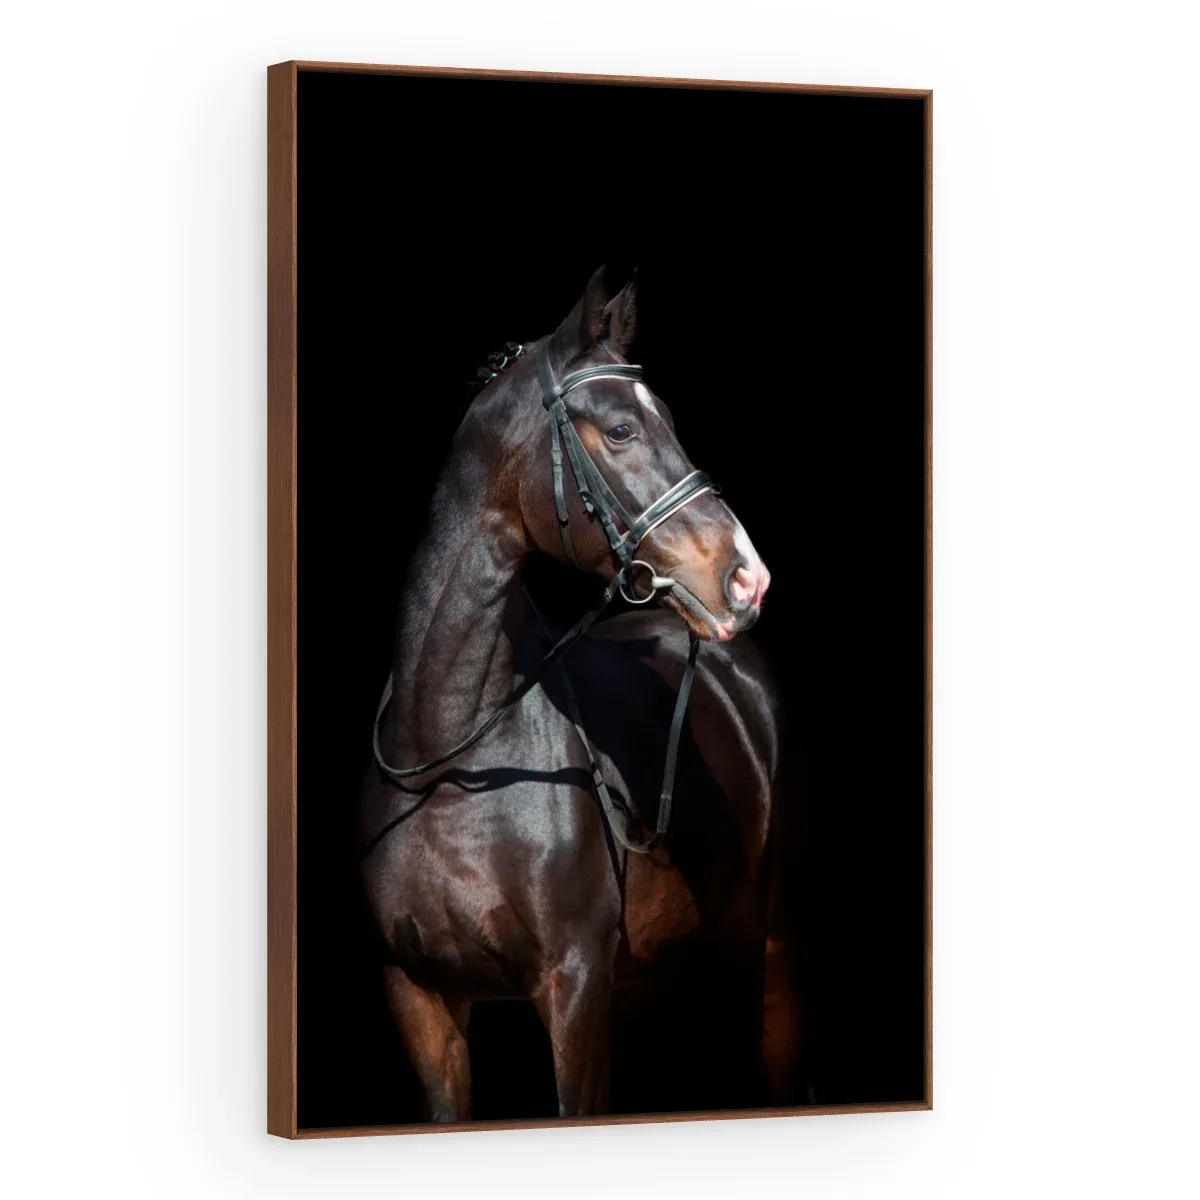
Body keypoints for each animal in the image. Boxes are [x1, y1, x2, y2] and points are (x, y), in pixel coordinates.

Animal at [359, 267, 799, 1121]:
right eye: (621, 430)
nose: (746, 578)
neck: (448, 760)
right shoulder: (419, 997)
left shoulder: (576, 989)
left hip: (764, 947)